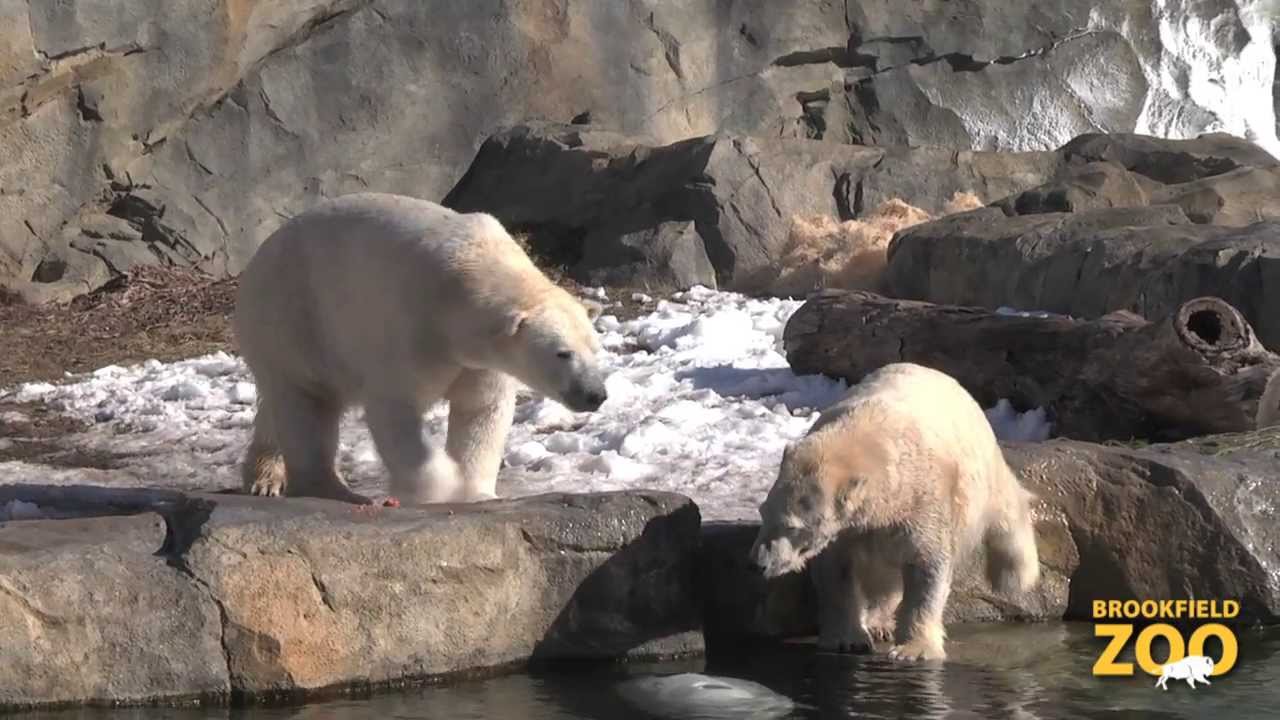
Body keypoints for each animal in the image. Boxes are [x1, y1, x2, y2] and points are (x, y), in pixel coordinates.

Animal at [232, 192, 609, 506]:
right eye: (562, 353)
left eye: (595, 348)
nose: (595, 394)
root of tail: (258, 256)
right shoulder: (412, 330)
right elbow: (396, 409)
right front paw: (442, 486)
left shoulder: (481, 363)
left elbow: (481, 411)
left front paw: (476, 493)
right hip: (294, 315)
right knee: (305, 399)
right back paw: (329, 488)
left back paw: (268, 476)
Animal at [749, 362, 1040, 662]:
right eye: (763, 512)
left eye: (792, 526)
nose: (758, 563)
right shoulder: (850, 528)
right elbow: (836, 572)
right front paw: (847, 640)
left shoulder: (922, 499)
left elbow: (926, 566)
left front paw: (913, 650)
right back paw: (878, 623)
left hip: (981, 465)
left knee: (1006, 507)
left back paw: (1014, 576)